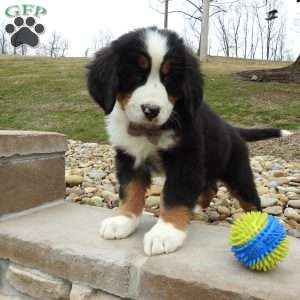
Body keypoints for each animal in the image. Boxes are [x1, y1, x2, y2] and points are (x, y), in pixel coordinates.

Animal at [85, 27, 292, 255]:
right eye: (135, 75)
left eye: (169, 78)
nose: (151, 110)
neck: (149, 132)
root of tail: (231, 129)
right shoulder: (129, 157)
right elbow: (131, 190)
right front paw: (123, 220)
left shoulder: (185, 159)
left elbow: (175, 195)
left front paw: (165, 233)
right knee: (210, 186)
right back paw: (198, 207)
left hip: (237, 172)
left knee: (250, 199)